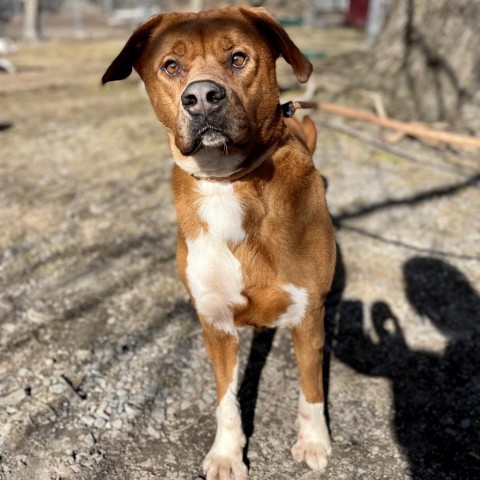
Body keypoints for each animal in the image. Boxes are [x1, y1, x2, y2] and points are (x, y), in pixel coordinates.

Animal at [102, 7, 334, 480]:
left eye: (238, 57)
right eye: (172, 66)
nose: (203, 97)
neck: (228, 182)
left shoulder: (308, 315)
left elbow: (311, 388)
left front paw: (314, 441)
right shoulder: (214, 321)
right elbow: (226, 400)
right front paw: (227, 454)